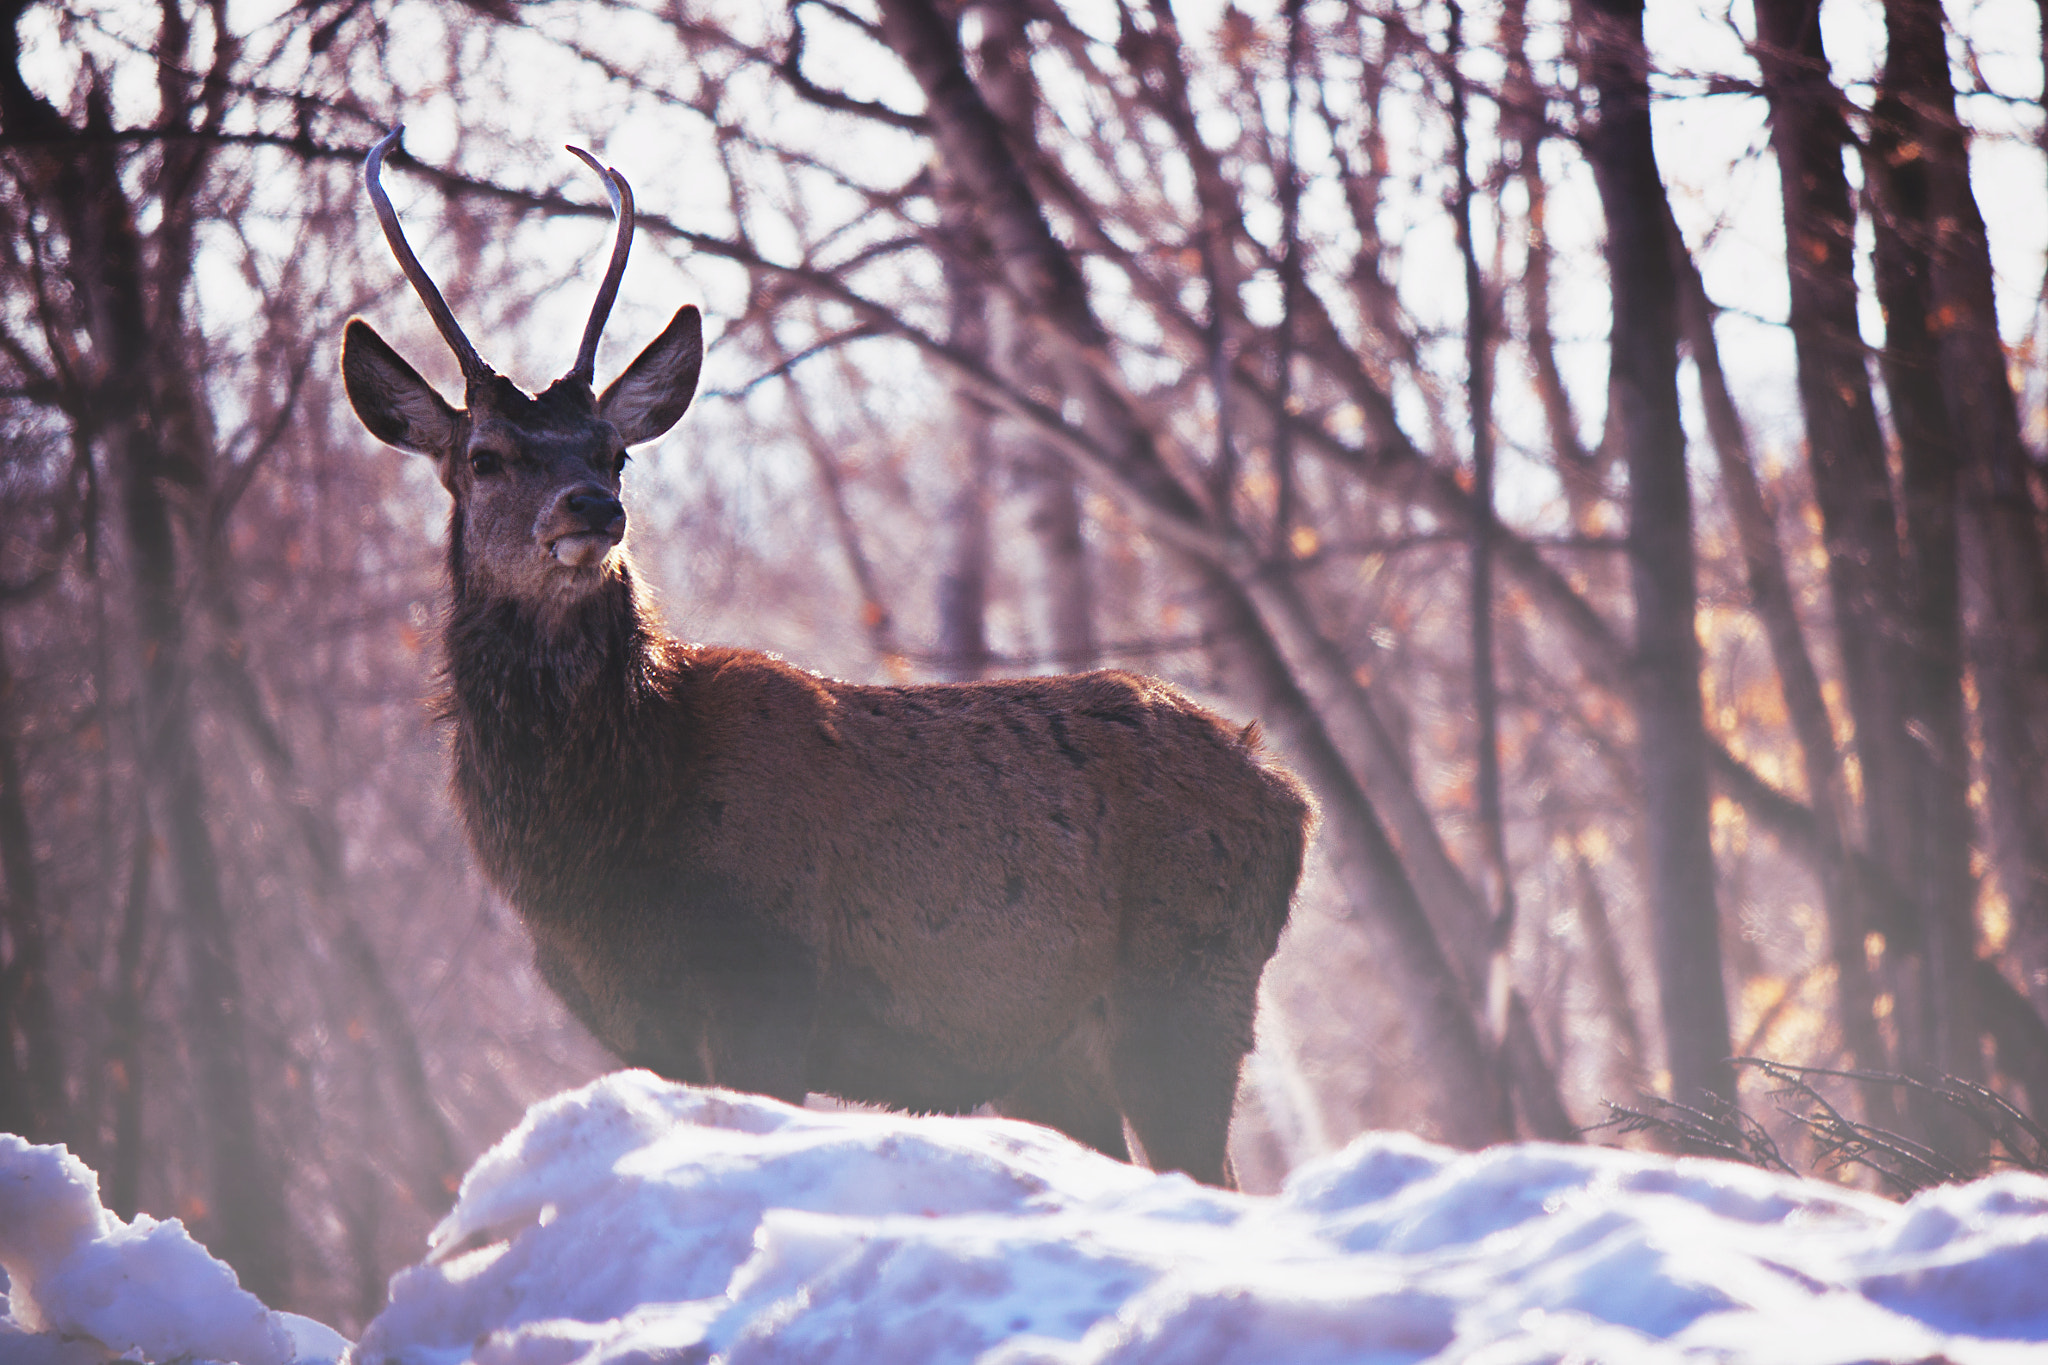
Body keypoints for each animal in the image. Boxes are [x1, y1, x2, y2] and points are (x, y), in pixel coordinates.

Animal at [339, 127, 1313, 1186]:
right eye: (484, 456)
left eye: (612, 451)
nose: (592, 509)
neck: (602, 847)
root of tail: (1288, 797)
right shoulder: (635, 1023)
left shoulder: (768, 986)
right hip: (1055, 1055)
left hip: (1188, 985)